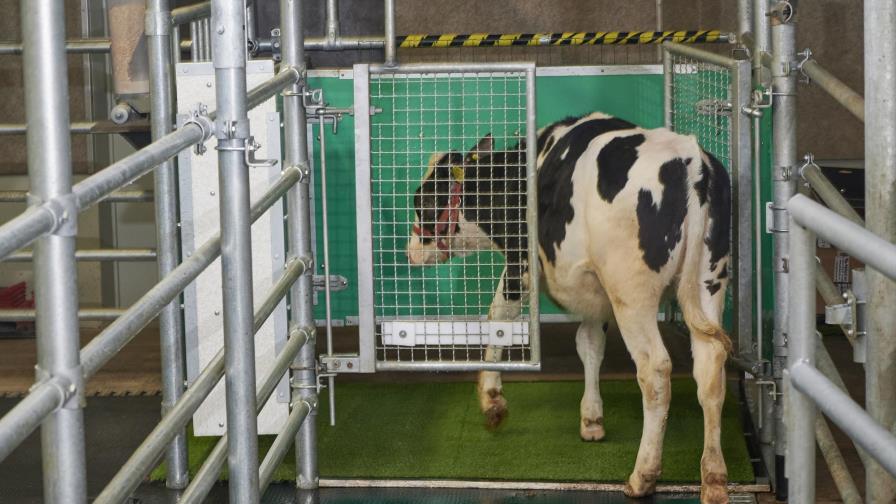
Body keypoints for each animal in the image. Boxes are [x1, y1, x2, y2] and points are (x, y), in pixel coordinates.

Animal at [406, 112, 732, 503]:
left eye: (424, 201)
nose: (410, 251)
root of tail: (690, 158)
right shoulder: (594, 293)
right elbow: (589, 344)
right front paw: (591, 420)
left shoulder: (521, 265)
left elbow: (499, 317)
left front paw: (492, 399)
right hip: (708, 280)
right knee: (711, 367)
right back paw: (713, 478)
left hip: (631, 292)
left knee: (654, 371)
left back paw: (643, 474)